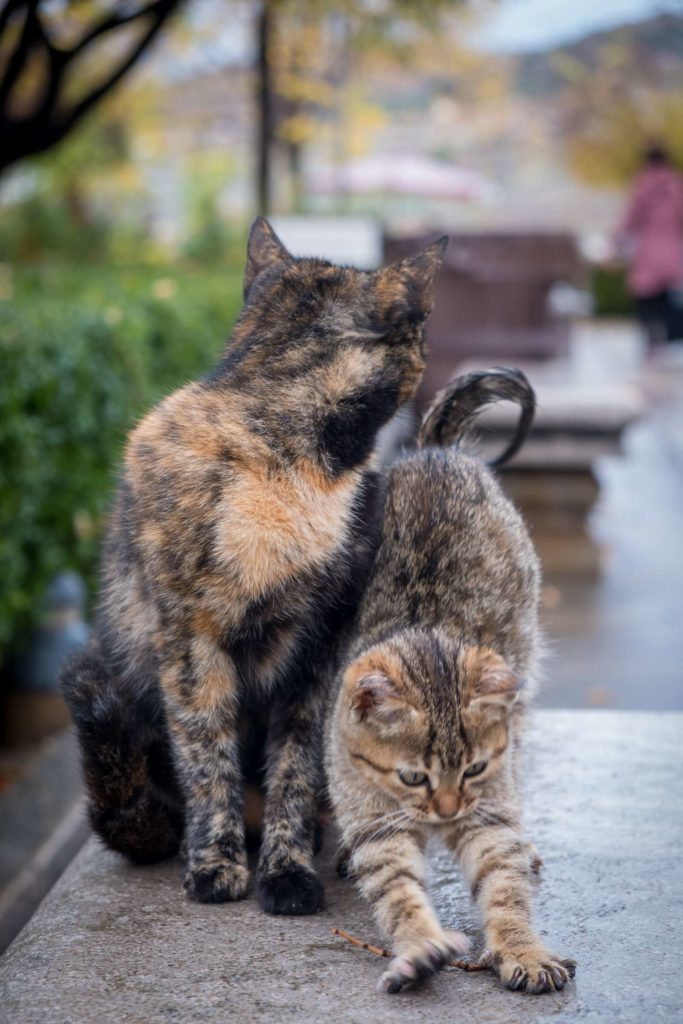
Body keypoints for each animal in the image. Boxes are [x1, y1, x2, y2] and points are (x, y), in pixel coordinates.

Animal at [62, 222, 448, 913]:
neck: (293, 462)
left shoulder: (322, 651)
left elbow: (295, 768)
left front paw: (287, 872)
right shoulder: (191, 645)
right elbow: (207, 759)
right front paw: (216, 868)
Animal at [327, 368, 577, 991]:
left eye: (475, 769)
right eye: (413, 777)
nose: (446, 812)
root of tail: (432, 450)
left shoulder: (488, 813)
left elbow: (504, 885)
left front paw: (523, 949)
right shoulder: (378, 826)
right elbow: (398, 891)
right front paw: (420, 944)